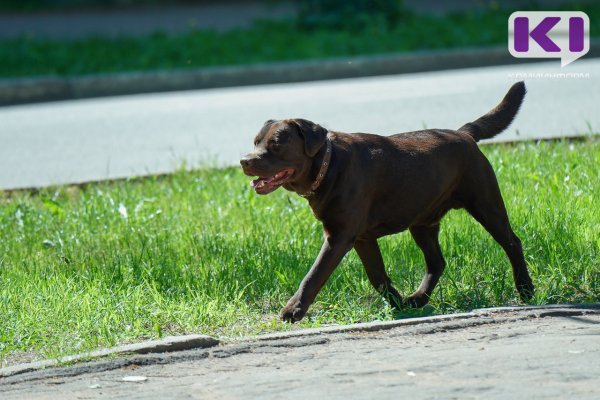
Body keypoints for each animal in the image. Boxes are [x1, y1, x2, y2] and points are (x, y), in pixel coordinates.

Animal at [239, 81, 536, 322]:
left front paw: (293, 310)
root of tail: (464, 134)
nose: (244, 161)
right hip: (423, 222)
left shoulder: (339, 236)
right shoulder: (361, 238)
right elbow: (377, 275)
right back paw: (417, 299)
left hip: (486, 205)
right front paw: (397, 303)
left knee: (513, 243)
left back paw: (526, 289)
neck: (328, 165)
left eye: (277, 144)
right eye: (255, 142)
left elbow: (314, 274)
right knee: (437, 262)